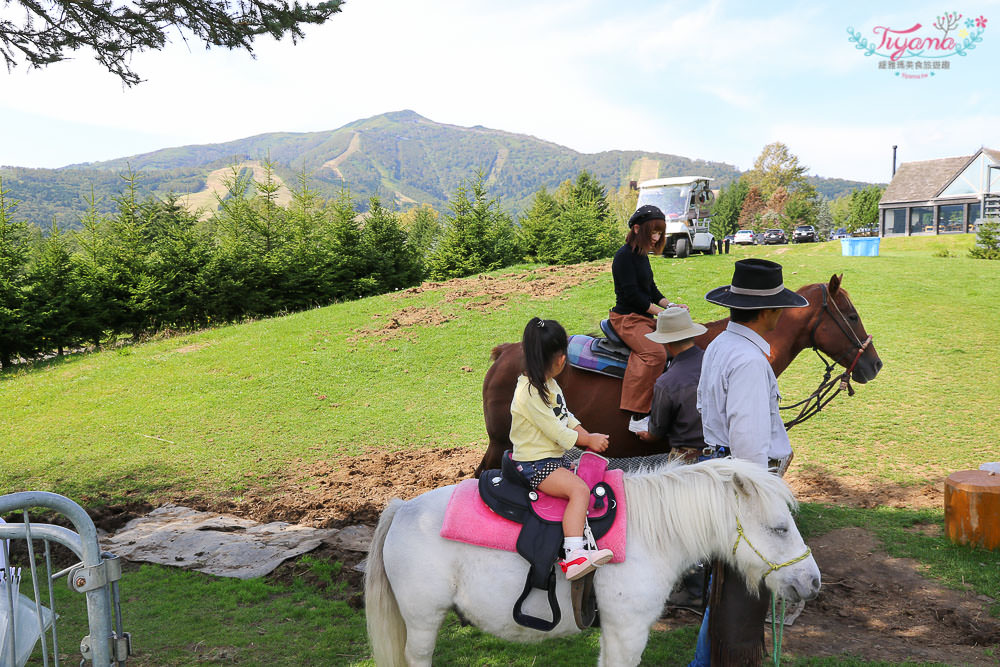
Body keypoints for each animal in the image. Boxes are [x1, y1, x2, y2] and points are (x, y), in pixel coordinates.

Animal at [368, 460, 820, 667]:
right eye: (780, 528)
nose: (812, 582)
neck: (649, 533)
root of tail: (402, 508)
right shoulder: (628, 633)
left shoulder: (613, 633)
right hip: (423, 622)